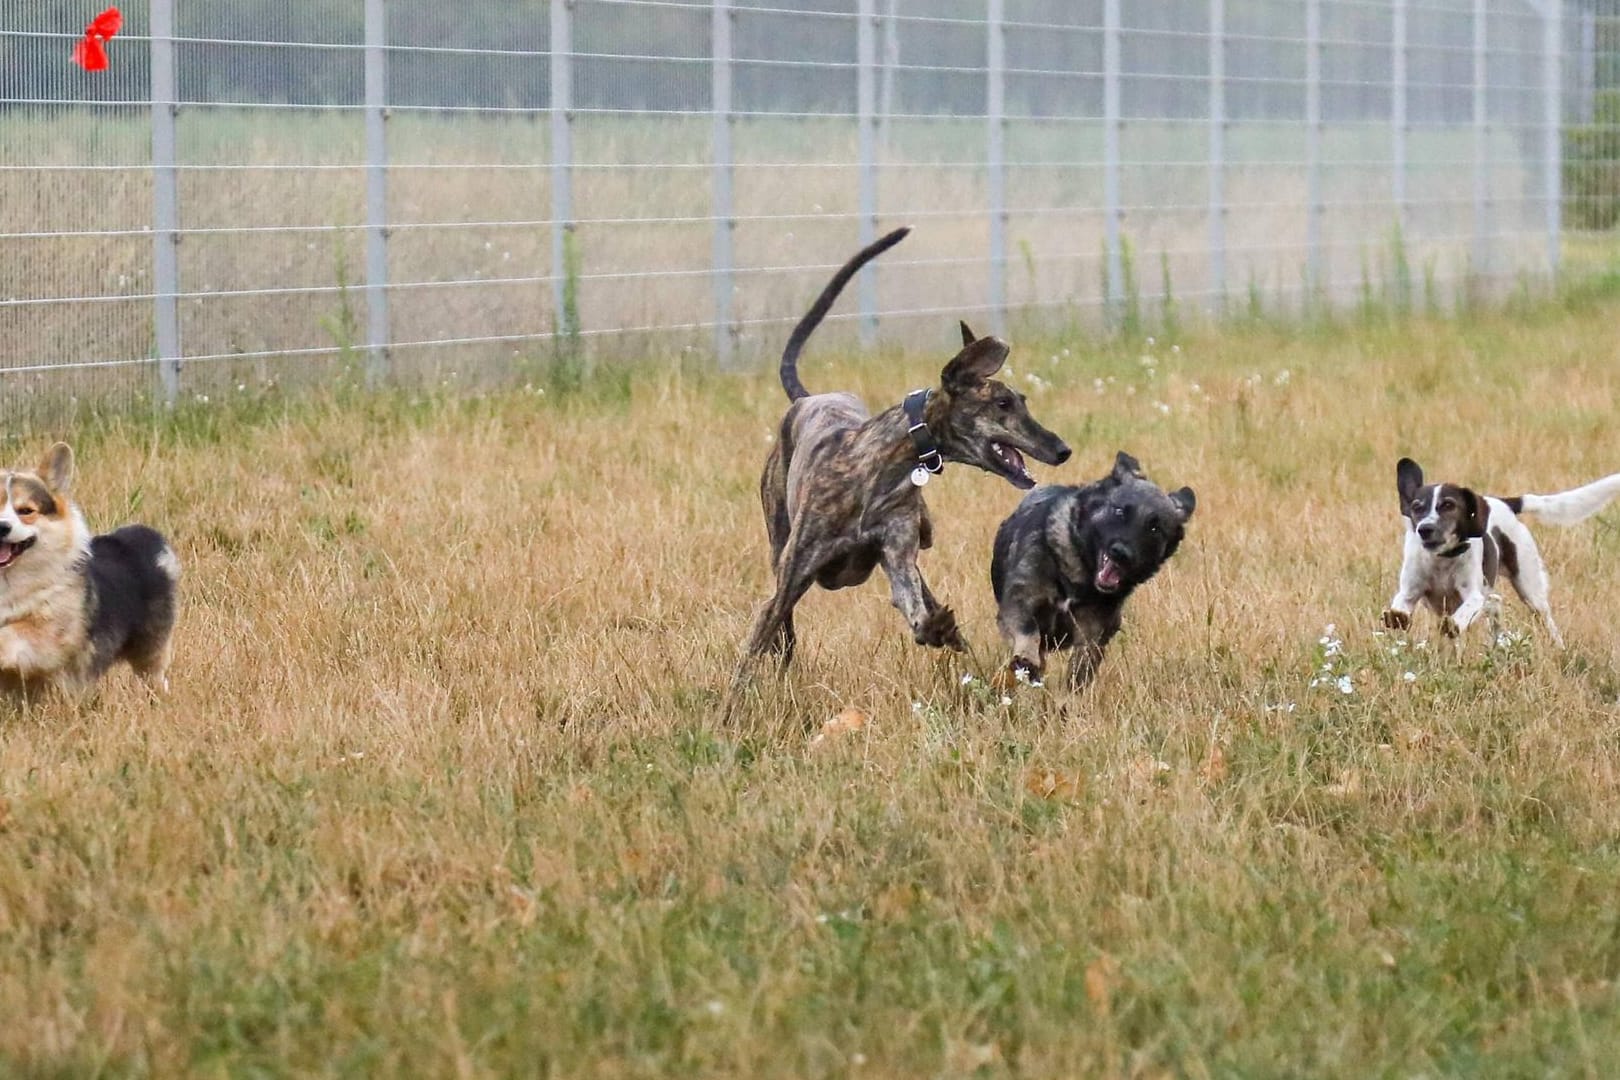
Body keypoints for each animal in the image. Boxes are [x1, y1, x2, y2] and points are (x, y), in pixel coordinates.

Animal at [0, 443, 180, 696]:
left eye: (25, 511)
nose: (2, 527)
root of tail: (149, 538)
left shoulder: (49, 636)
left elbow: (10, 634)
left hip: (150, 648)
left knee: (154, 674)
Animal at [978, 450, 1198, 689]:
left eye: (1155, 528)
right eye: (1119, 511)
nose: (1121, 553)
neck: (1078, 572)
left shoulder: (1092, 634)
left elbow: (1080, 670)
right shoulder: (1019, 604)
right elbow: (1028, 635)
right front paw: (1026, 661)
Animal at [1380, 453, 1620, 647]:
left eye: (1448, 505)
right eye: (1416, 507)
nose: (1425, 529)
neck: (1442, 560)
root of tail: (1505, 503)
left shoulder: (1473, 596)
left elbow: (1463, 614)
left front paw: (1453, 625)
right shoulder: (1410, 592)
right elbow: (1400, 607)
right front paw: (1397, 618)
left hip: (1530, 590)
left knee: (1545, 620)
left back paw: (1558, 648)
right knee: (1495, 603)